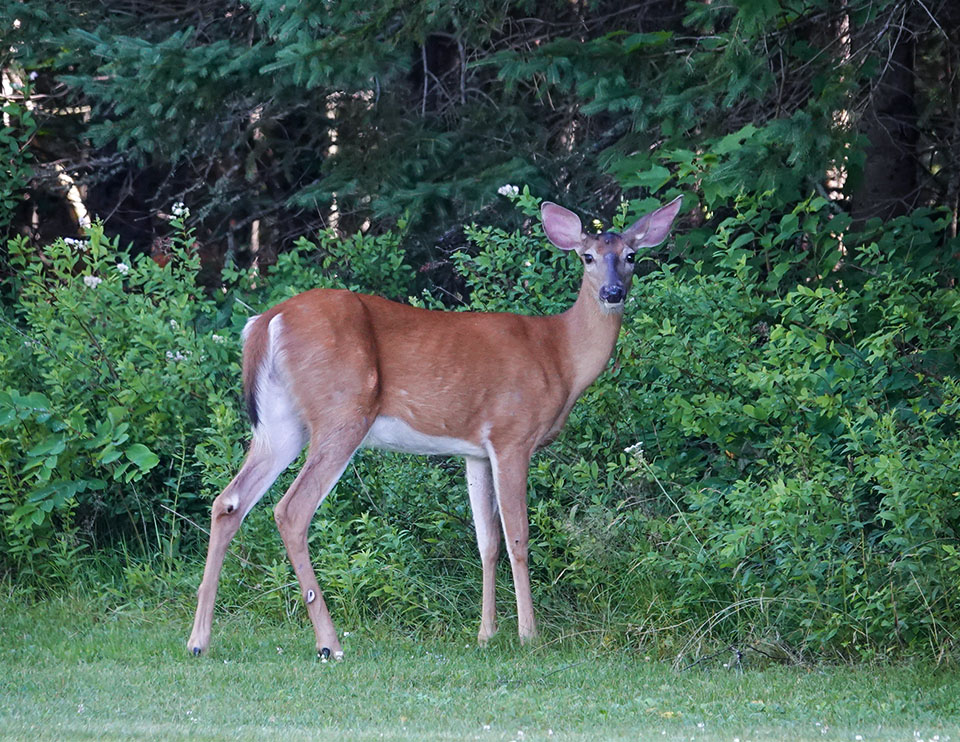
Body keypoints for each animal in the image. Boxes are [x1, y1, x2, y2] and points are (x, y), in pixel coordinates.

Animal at [188, 195, 684, 660]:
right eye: (587, 257)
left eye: (631, 255)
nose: (613, 292)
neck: (559, 356)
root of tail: (266, 322)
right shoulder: (513, 435)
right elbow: (518, 538)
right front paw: (529, 635)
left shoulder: (475, 451)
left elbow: (486, 541)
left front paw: (486, 634)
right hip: (342, 412)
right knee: (291, 510)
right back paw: (329, 643)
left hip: (281, 423)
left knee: (229, 501)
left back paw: (199, 640)